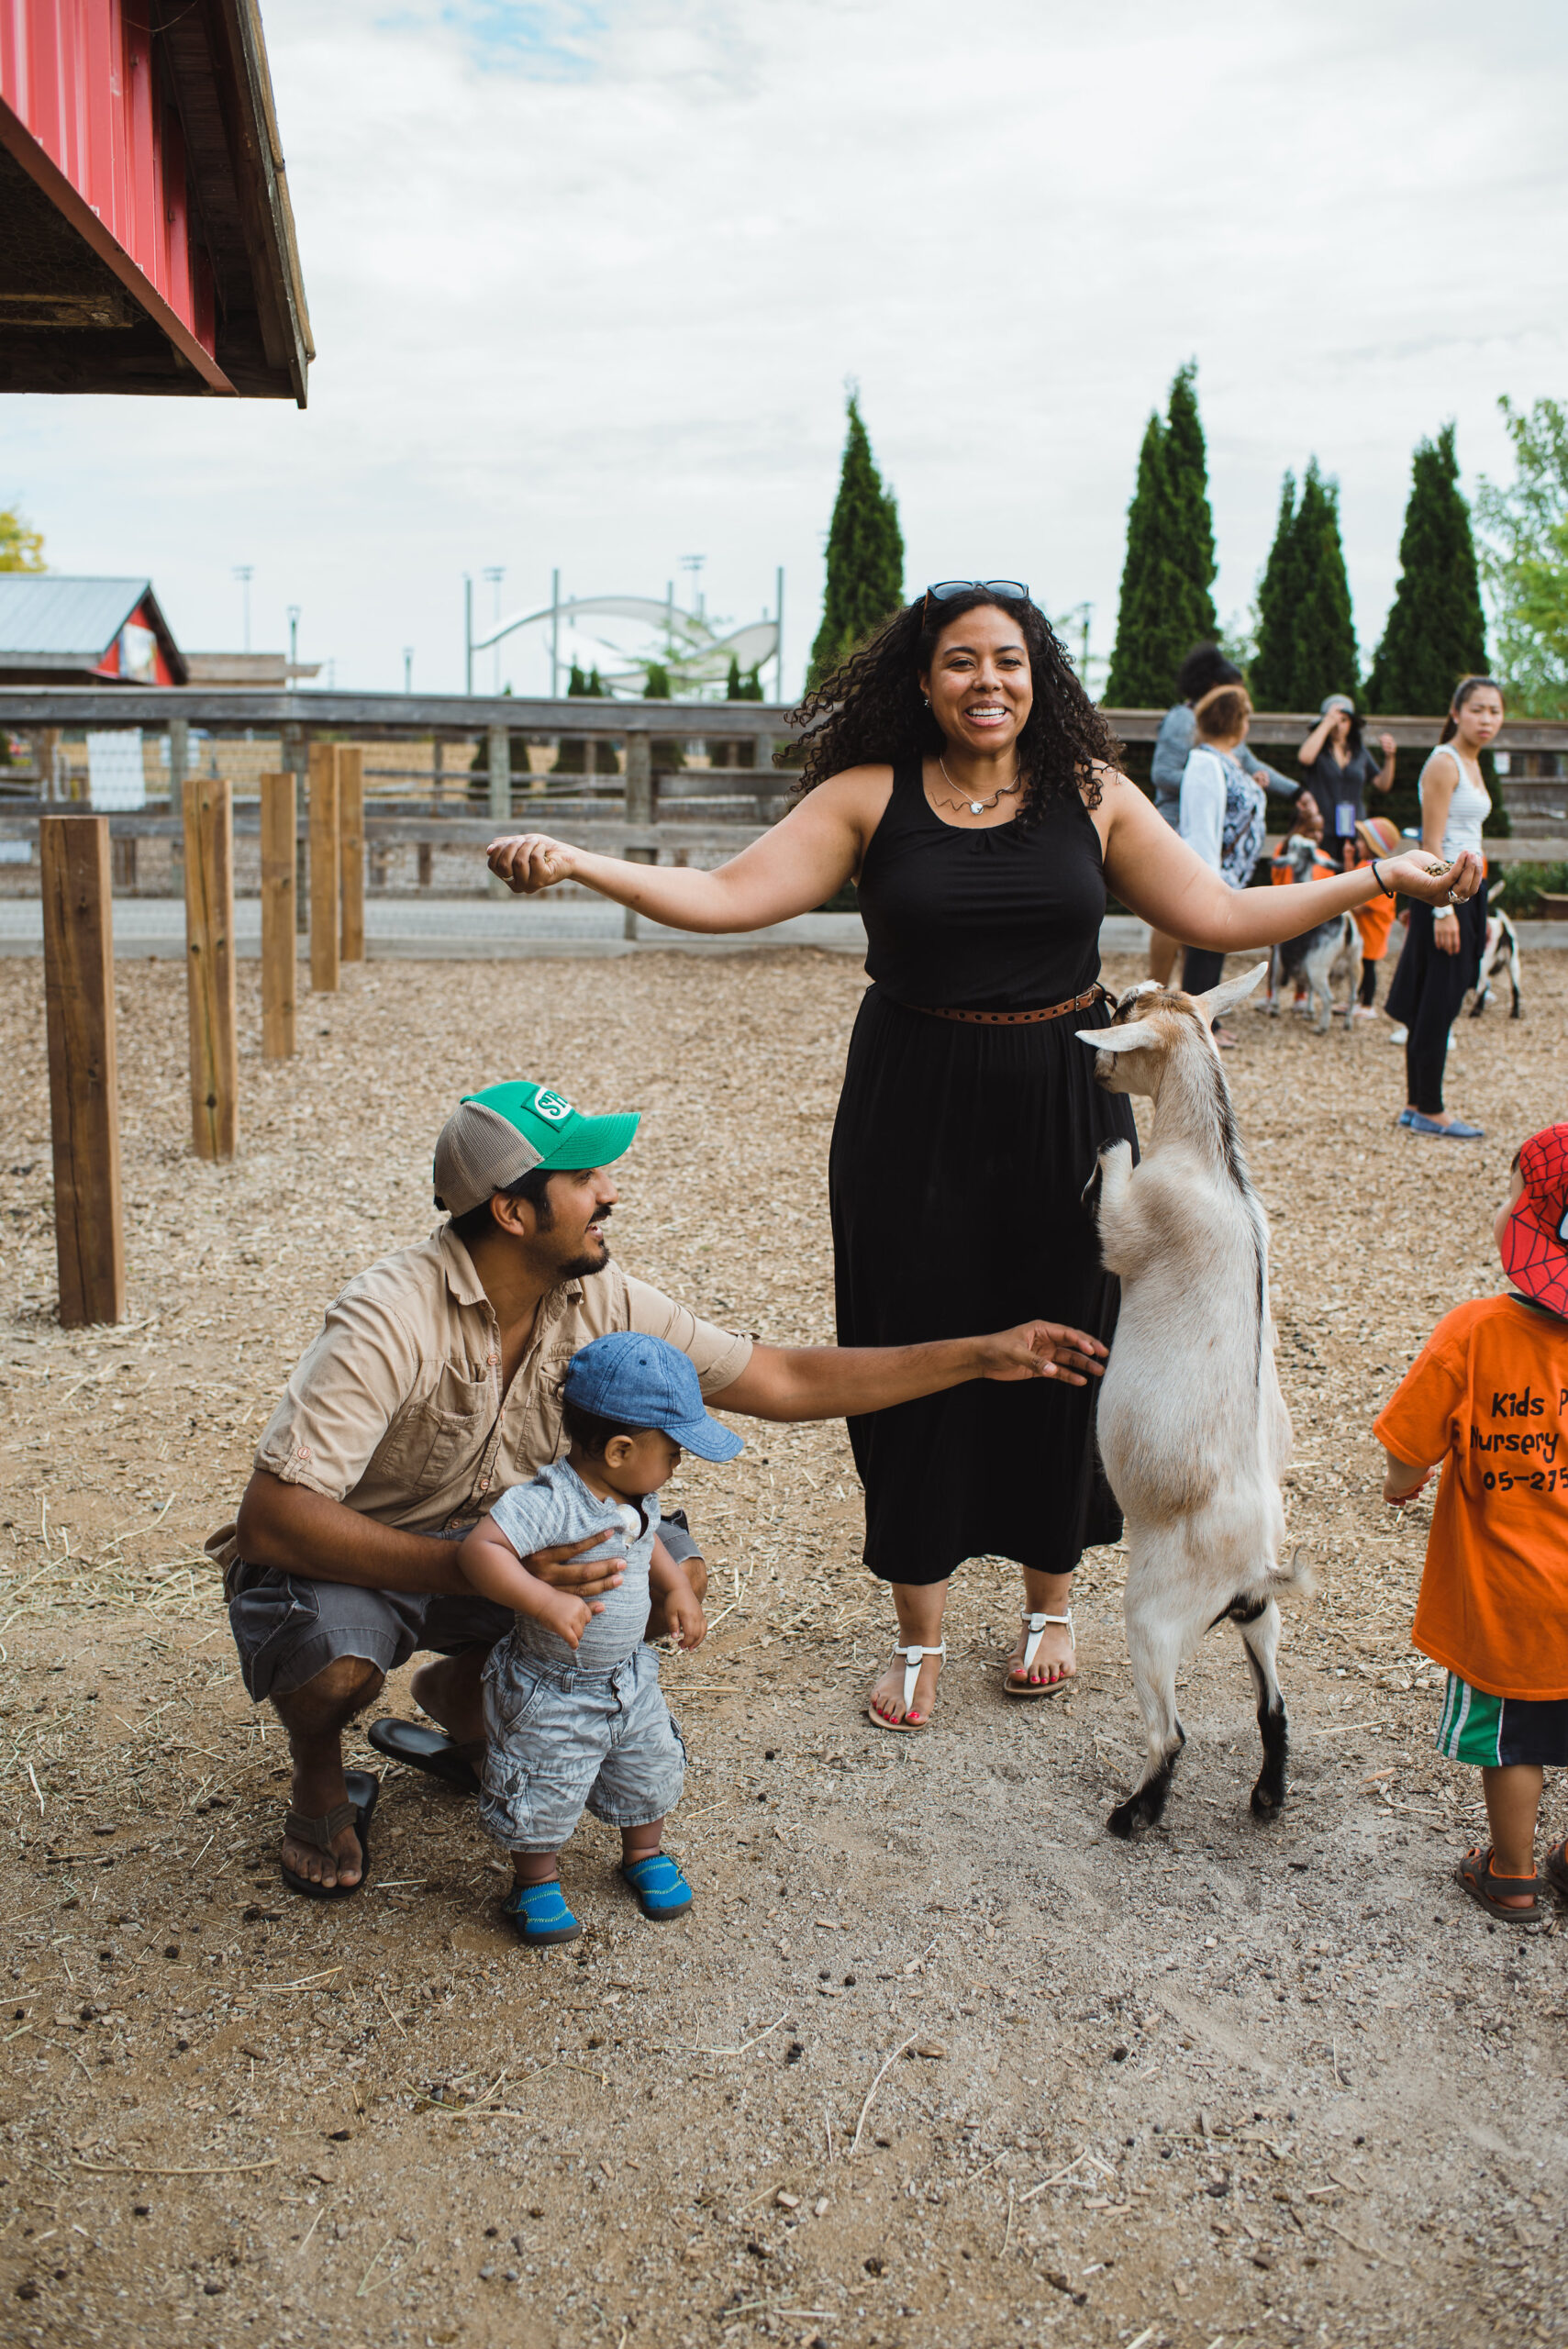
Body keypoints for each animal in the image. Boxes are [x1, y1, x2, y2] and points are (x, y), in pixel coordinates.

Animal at [1076, 964, 1309, 1840]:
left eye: (1124, 1016)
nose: (1096, 1070)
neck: (1214, 1166)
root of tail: (1254, 1568)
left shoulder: (1131, 1224)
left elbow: (1114, 1187)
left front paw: (1108, 1142)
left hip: (1151, 1615)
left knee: (1168, 1734)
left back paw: (1132, 1814)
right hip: (1259, 1616)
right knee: (1272, 1705)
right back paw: (1267, 1798)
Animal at [1265, 836, 1359, 1033]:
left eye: (1293, 848)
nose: (1274, 861)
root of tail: (1346, 924)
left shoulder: (1278, 952)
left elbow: (1276, 978)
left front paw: (1275, 1008)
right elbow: (1308, 987)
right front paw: (1309, 1012)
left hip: (1319, 965)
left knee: (1328, 997)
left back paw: (1321, 1028)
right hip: (1354, 963)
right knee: (1352, 996)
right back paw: (1347, 1024)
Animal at [1468, 883, 1523, 1020]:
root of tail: (1503, 930)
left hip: (1483, 964)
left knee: (1482, 987)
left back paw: (1474, 1012)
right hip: (1514, 963)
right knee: (1515, 988)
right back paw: (1514, 1014)